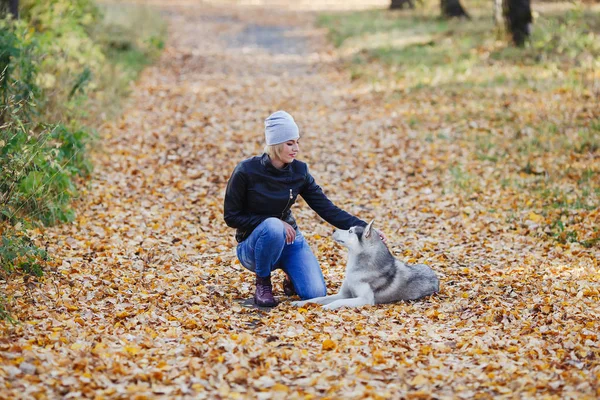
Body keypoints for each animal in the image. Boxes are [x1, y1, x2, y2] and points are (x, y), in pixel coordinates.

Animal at [292, 222, 438, 310]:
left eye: (350, 231)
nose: (332, 229)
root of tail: (436, 277)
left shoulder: (365, 300)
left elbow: (338, 302)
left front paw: (328, 306)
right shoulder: (343, 294)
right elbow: (318, 298)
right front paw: (301, 302)